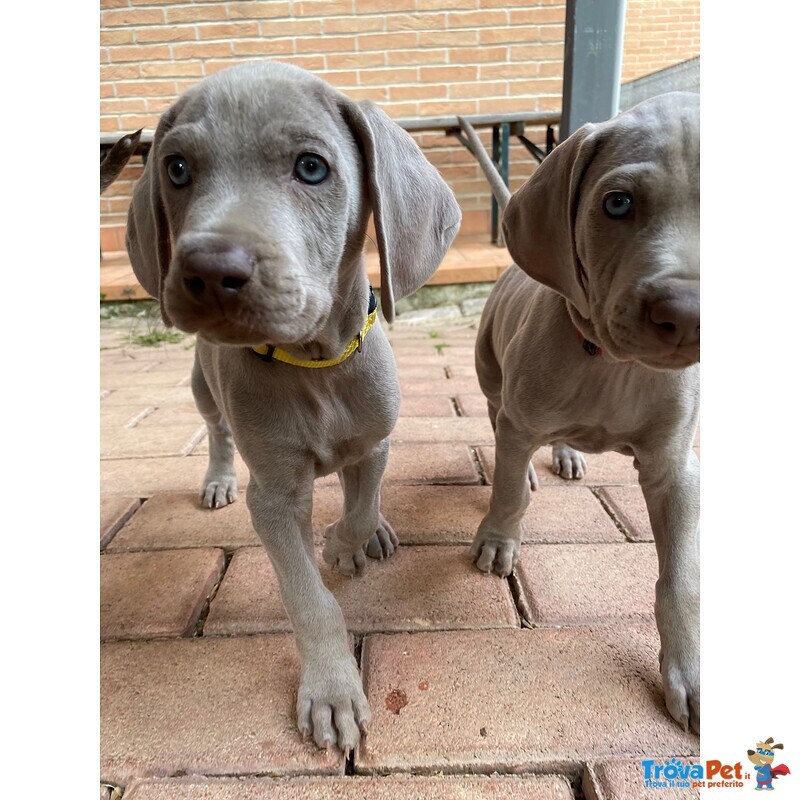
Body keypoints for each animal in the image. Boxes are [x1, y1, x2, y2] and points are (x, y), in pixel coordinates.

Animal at [127, 61, 460, 752]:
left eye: (311, 167)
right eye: (176, 169)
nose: (207, 270)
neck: (315, 365)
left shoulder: (376, 440)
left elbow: (362, 503)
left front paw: (345, 544)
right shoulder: (276, 497)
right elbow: (310, 598)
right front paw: (332, 690)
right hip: (202, 386)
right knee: (218, 432)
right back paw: (218, 479)